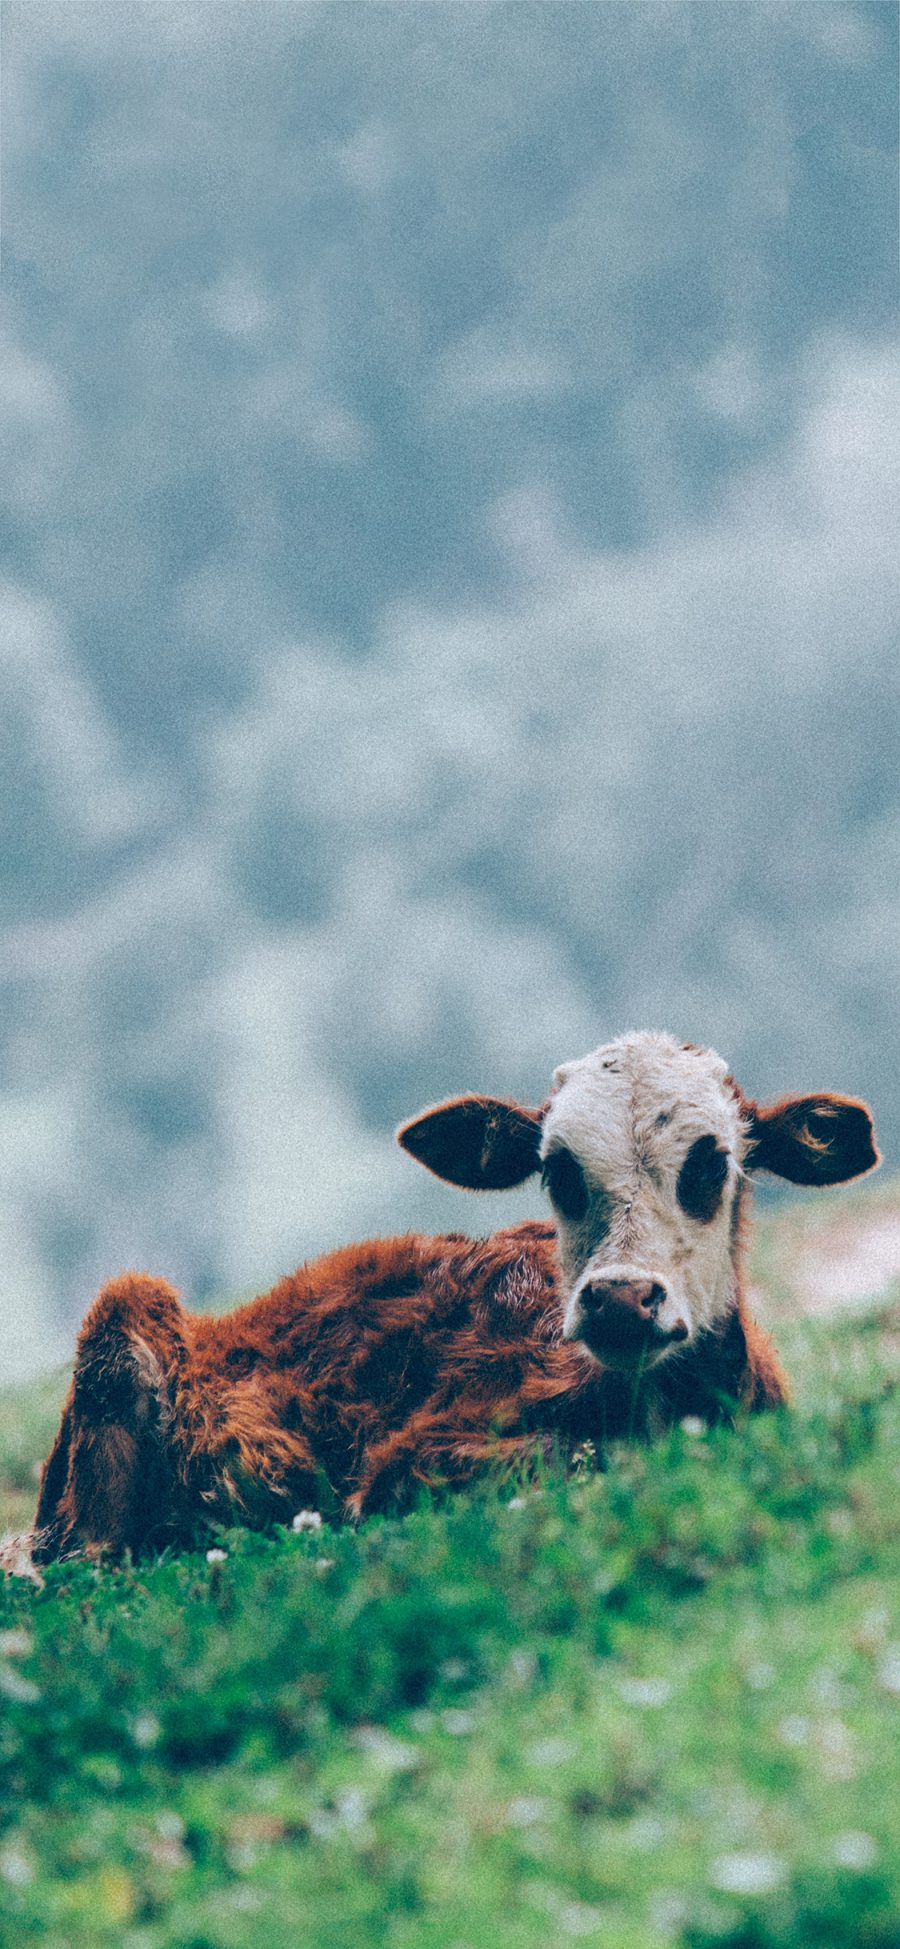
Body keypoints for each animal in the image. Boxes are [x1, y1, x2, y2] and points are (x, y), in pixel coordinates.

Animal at [29, 1036, 880, 1566]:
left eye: (712, 1164)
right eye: (557, 1170)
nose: (619, 1300)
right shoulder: (410, 1460)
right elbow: (559, 1455)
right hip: (123, 1314)